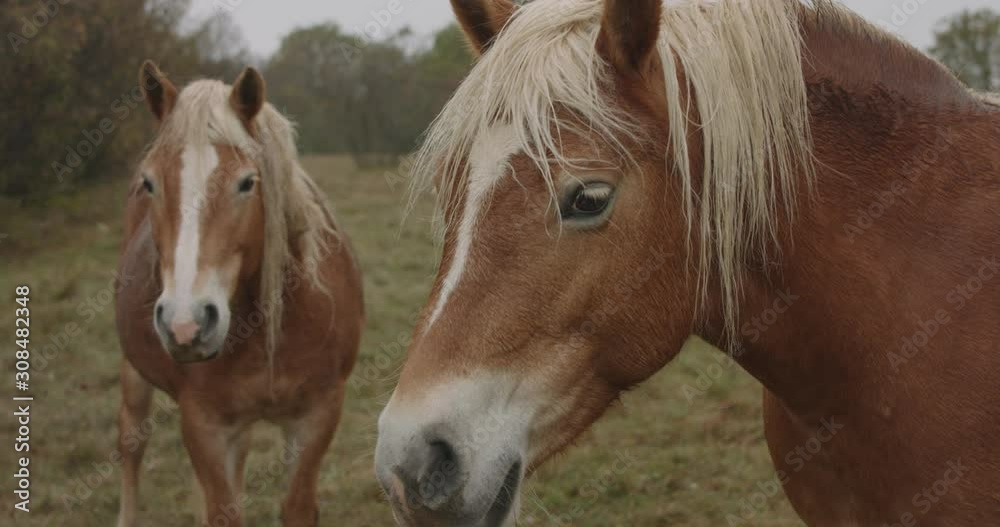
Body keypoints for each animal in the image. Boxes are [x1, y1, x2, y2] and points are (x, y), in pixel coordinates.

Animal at [115, 61, 363, 527]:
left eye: (248, 183)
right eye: (150, 183)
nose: (186, 324)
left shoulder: (317, 415)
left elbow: (297, 507)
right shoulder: (206, 425)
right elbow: (223, 511)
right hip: (134, 375)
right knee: (131, 443)